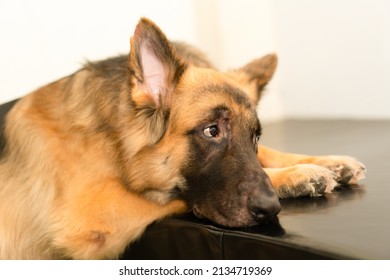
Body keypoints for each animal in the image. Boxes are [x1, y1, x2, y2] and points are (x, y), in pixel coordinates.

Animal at [0, 17, 366, 258]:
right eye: (211, 131)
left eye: (255, 137)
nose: (270, 206)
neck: (115, 142)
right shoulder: (91, 214)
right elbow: (176, 195)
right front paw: (296, 175)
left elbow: (268, 155)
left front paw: (326, 163)